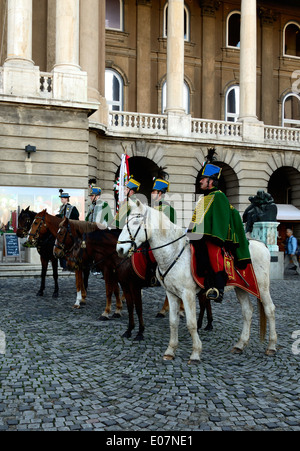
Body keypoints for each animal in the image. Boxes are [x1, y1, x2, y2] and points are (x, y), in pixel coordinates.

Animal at [116, 200, 276, 366]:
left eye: (135, 222)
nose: (119, 248)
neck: (173, 252)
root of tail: (262, 245)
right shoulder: (171, 294)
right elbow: (173, 322)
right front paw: (170, 351)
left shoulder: (188, 294)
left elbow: (191, 323)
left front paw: (195, 353)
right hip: (242, 288)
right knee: (247, 311)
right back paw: (240, 344)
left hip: (262, 288)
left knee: (270, 310)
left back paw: (271, 346)